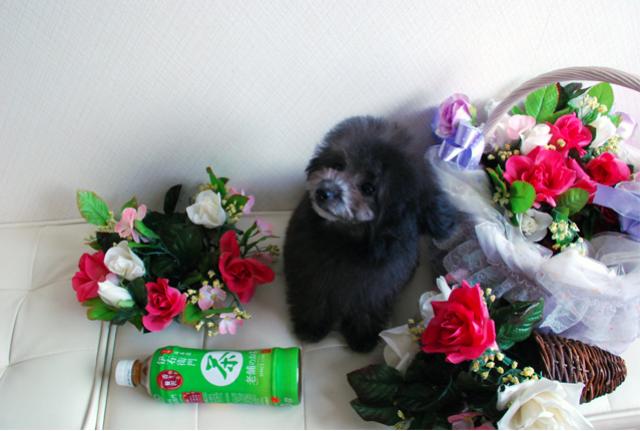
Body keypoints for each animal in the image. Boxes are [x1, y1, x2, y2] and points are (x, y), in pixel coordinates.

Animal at [283, 116, 456, 352]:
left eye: (368, 188)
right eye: (338, 165)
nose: (323, 190)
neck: (346, 238)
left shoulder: (376, 287)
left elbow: (366, 308)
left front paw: (362, 337)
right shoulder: (312, 274)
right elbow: (313, 299)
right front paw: (311, 328)